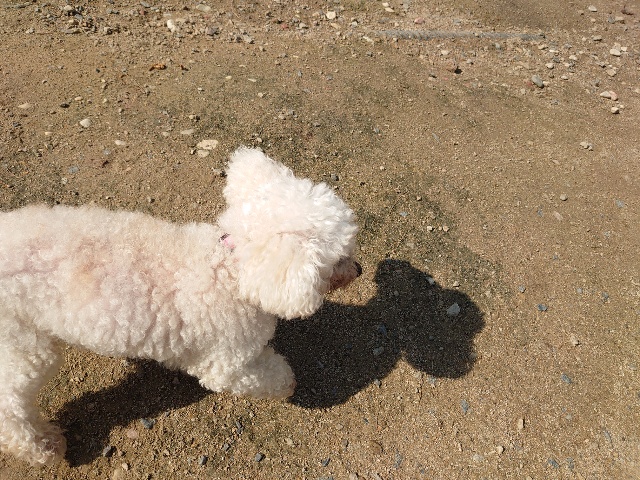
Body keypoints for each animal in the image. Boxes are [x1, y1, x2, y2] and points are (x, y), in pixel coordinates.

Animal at [0, 147, 360, 465]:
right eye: (337, 259)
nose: (358, 269)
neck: (229, 266)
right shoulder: (226, 363)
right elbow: (267, 375)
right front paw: (288, 383)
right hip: (22, 343)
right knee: (10, 405)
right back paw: (42, 446)